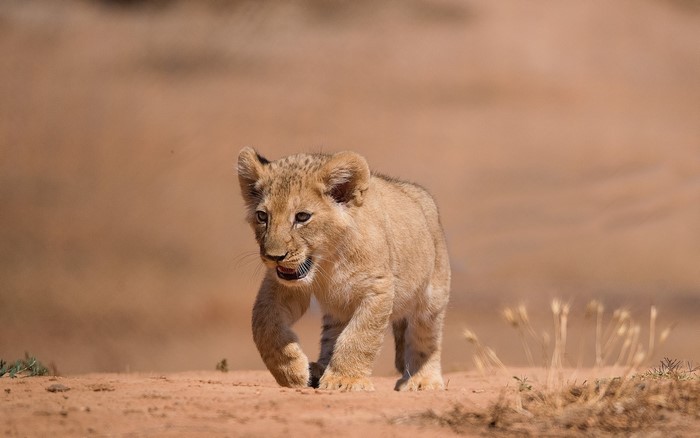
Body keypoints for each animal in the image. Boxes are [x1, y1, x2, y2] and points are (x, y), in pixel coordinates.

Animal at [237, 147, 451, 391]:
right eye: (262, 216)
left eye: (302, 217)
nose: (274, 257)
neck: (328, 262)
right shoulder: (281, 286)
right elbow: (264, 324)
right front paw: (291, 371)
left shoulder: (377, 288)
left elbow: (359, 336)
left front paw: (344, 380)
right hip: (338, 308)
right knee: (332, 335)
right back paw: (318, 369)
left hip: (432, 297)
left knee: (426, 337)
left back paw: (423, 380)